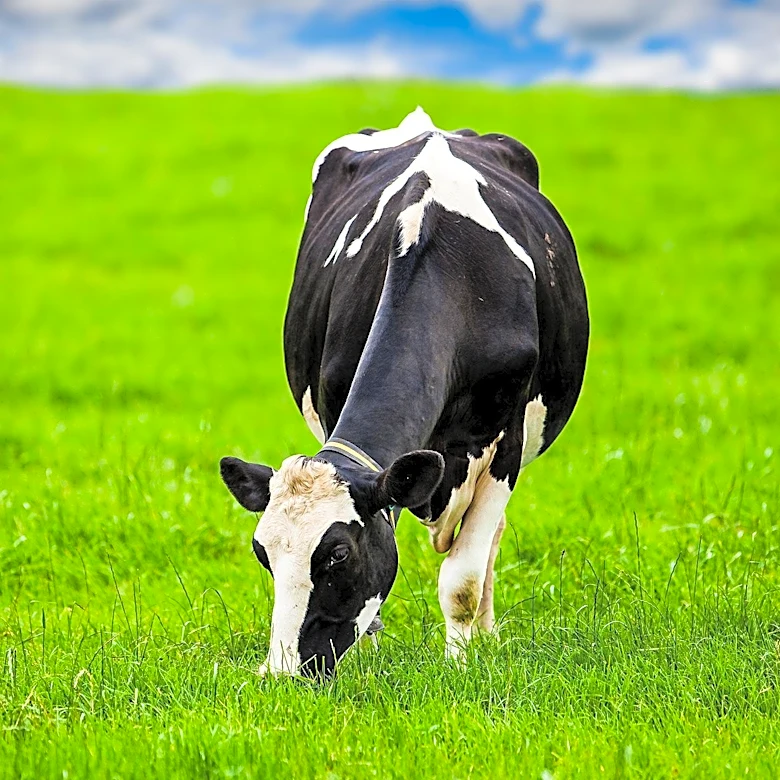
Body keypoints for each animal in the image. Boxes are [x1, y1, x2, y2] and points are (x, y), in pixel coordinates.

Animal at [220, 107, 588, 678]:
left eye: (338, 554)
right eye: (264, 553)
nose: (282, 672)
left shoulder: (505, 444)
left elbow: (462, 578)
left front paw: (461, 664)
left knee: (488, 548)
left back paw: (486, 636)